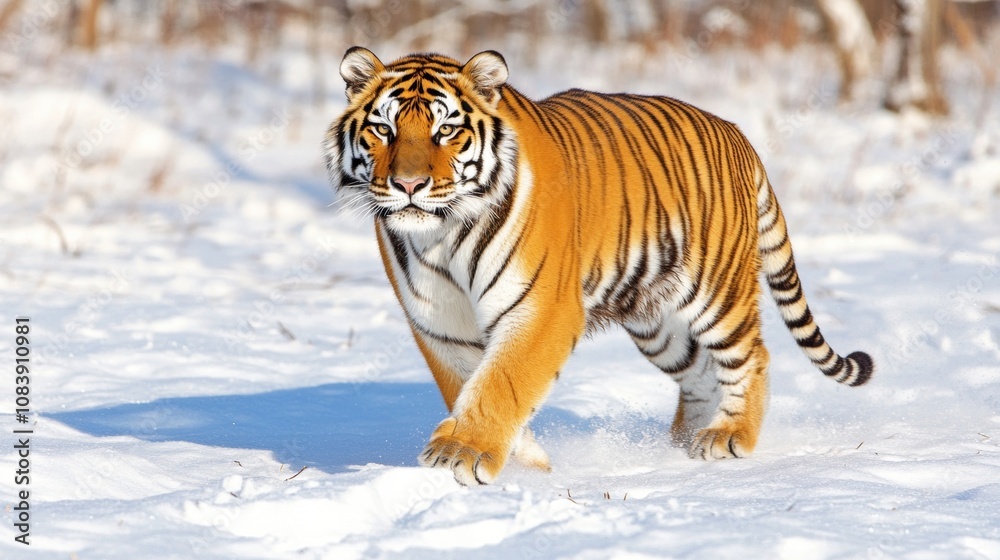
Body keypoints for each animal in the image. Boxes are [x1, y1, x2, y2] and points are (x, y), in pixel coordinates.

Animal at [323, 47, 873, 486]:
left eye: (446, 130)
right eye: (383, 128)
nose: (409, 185)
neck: (442, 234)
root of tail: (739, 136)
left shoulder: (540, 308)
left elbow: (501, 382)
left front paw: (465, 452)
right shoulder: (438, 322)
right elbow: (467, 384)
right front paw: (527, 463)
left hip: (715, 292)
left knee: (752, 355)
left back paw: (730, 435)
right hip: (656, 321)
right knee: (698, 375)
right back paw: (678, 447)